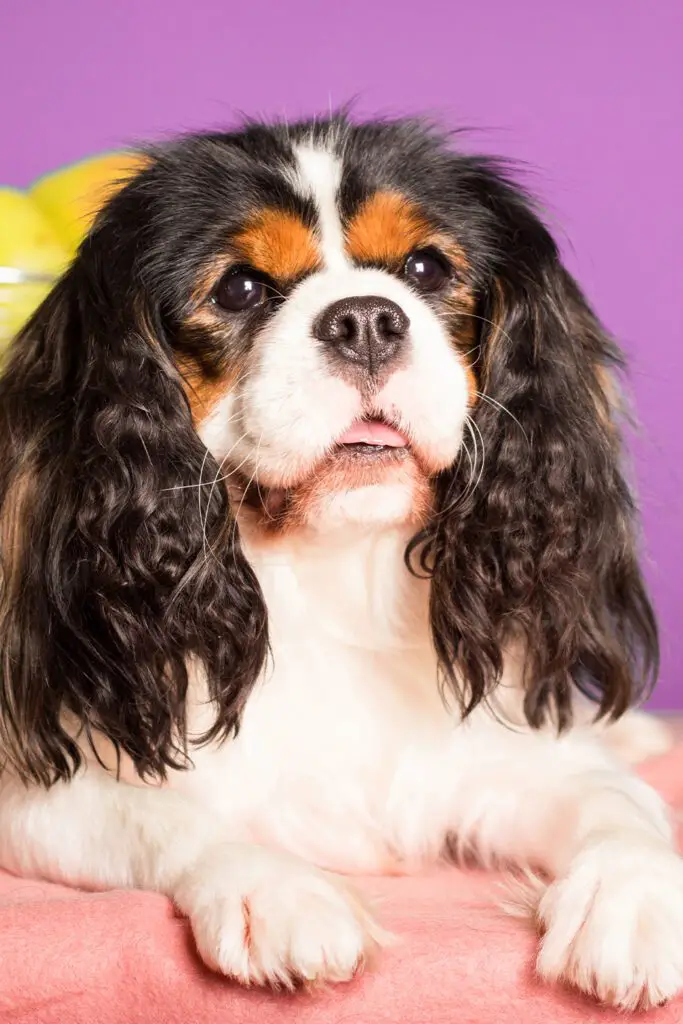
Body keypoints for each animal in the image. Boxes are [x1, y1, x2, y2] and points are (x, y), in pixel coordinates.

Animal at [0, 116, 679, 1011]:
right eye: (240, 289)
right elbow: (169, 819)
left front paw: (630, 898)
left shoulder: (503, 764)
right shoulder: (35, 792)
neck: (328, 567)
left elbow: (617, 804)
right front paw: (275, 889)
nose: (364, 320)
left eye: (425, 269)